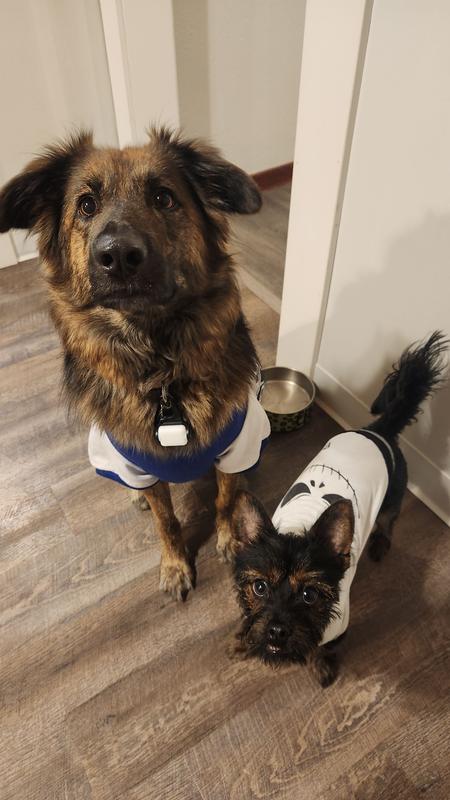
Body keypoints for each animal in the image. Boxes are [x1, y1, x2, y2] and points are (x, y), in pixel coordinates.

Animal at [0, 128, 270, 600]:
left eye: (163, 197)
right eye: (86, 205)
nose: (119, 255)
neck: (161, 374)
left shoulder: (237, 443)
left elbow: (223, 498)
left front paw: (230, 537)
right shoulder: (136, 462)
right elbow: (167, 520)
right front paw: (175, 565)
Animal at [231, 332, 447, 686]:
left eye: (310, 595)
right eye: (259, 587)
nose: (276, 631)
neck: (297, 523)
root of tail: (379, 430)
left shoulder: (339, 626)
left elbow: (327, 647)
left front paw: (322, 666)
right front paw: (243, 640)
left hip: (393, 494)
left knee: (389, 519)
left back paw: (381, 543)